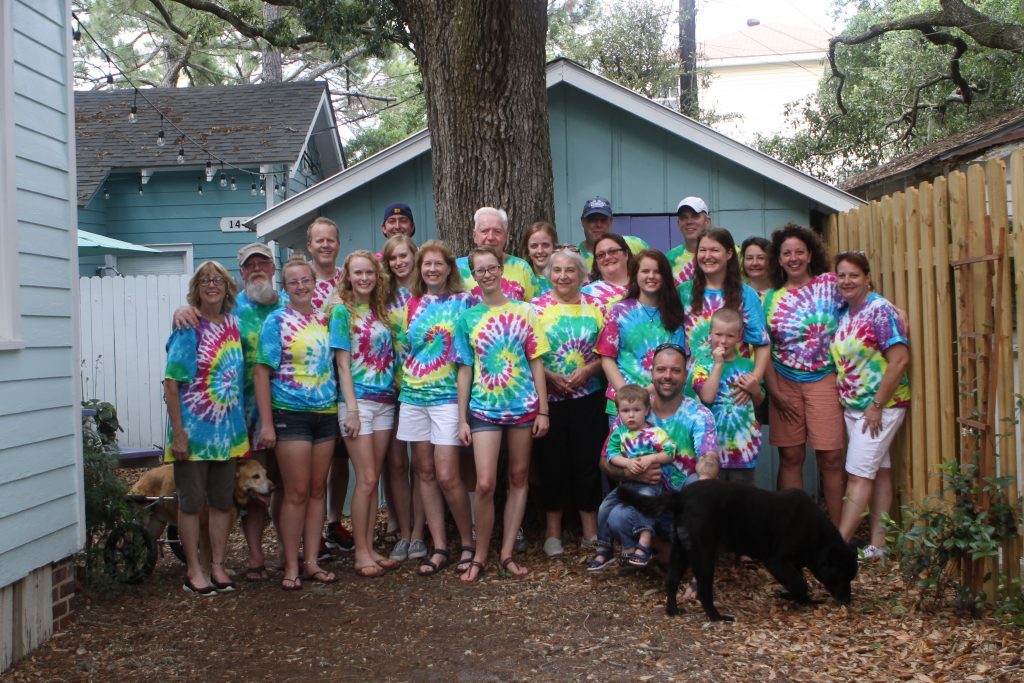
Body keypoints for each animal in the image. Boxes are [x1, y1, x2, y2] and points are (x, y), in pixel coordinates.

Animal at [127, 458, 272, 573]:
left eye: (266, 474)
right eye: (255, 476)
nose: (273, 487)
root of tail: (139, 482)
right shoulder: (206, 528)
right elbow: (210, 555)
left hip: (155, 527)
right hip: (140, 524)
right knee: (128, 545)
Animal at [614, 481, 856, 618]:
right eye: (840, 576)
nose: (848, 600)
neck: (815, 537)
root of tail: (681, 497)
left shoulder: (792, 563)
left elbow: (798, 581)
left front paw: (796, 598)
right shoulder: (776, 560)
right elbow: (800, 583)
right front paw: (801, 598)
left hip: (680, 552)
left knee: (671, 581)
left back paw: (673, 611)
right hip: (704, 554)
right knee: (704, 591)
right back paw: (718, 617)